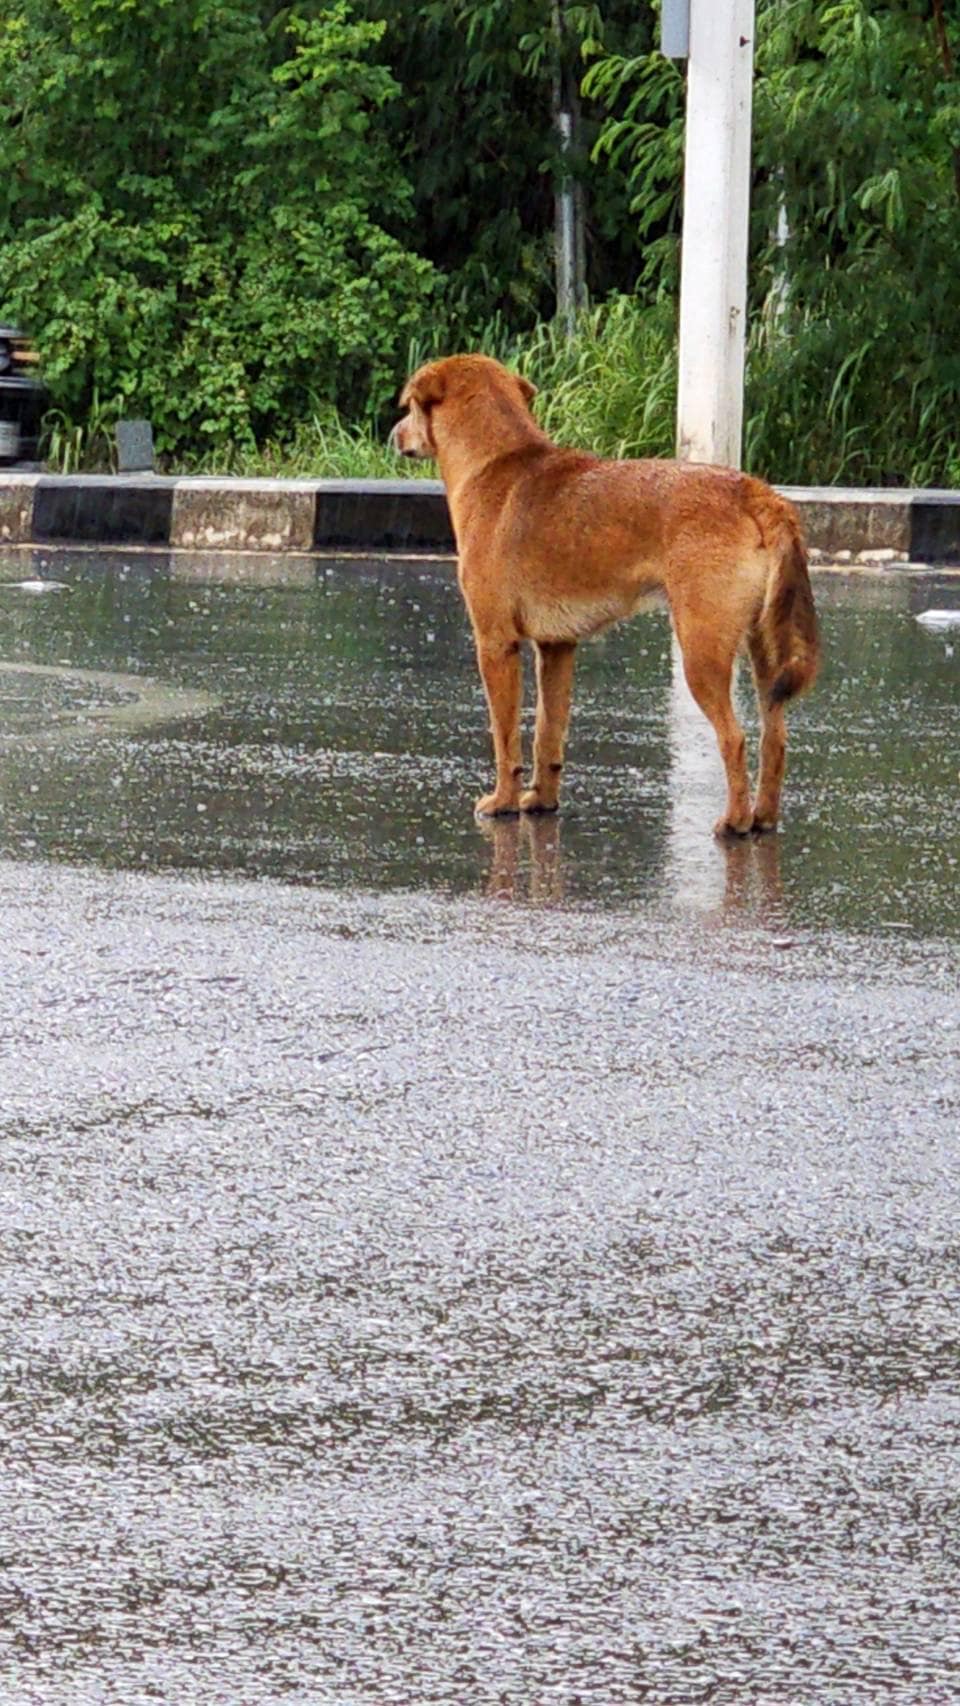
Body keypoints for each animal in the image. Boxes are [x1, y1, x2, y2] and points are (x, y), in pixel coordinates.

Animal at [390, 356, 818, 835]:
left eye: (410, 408)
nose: (394, 435)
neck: (496, 462)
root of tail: (757, 494)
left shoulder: (496, 645)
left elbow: (506, 737)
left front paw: (502, 801)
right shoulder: (556, 648)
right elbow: (548, 733)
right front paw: (541, 800)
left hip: (701, 654)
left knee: (735, 737)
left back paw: (735, 821)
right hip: (766, 654)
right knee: (774, 739)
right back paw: (763, 817)